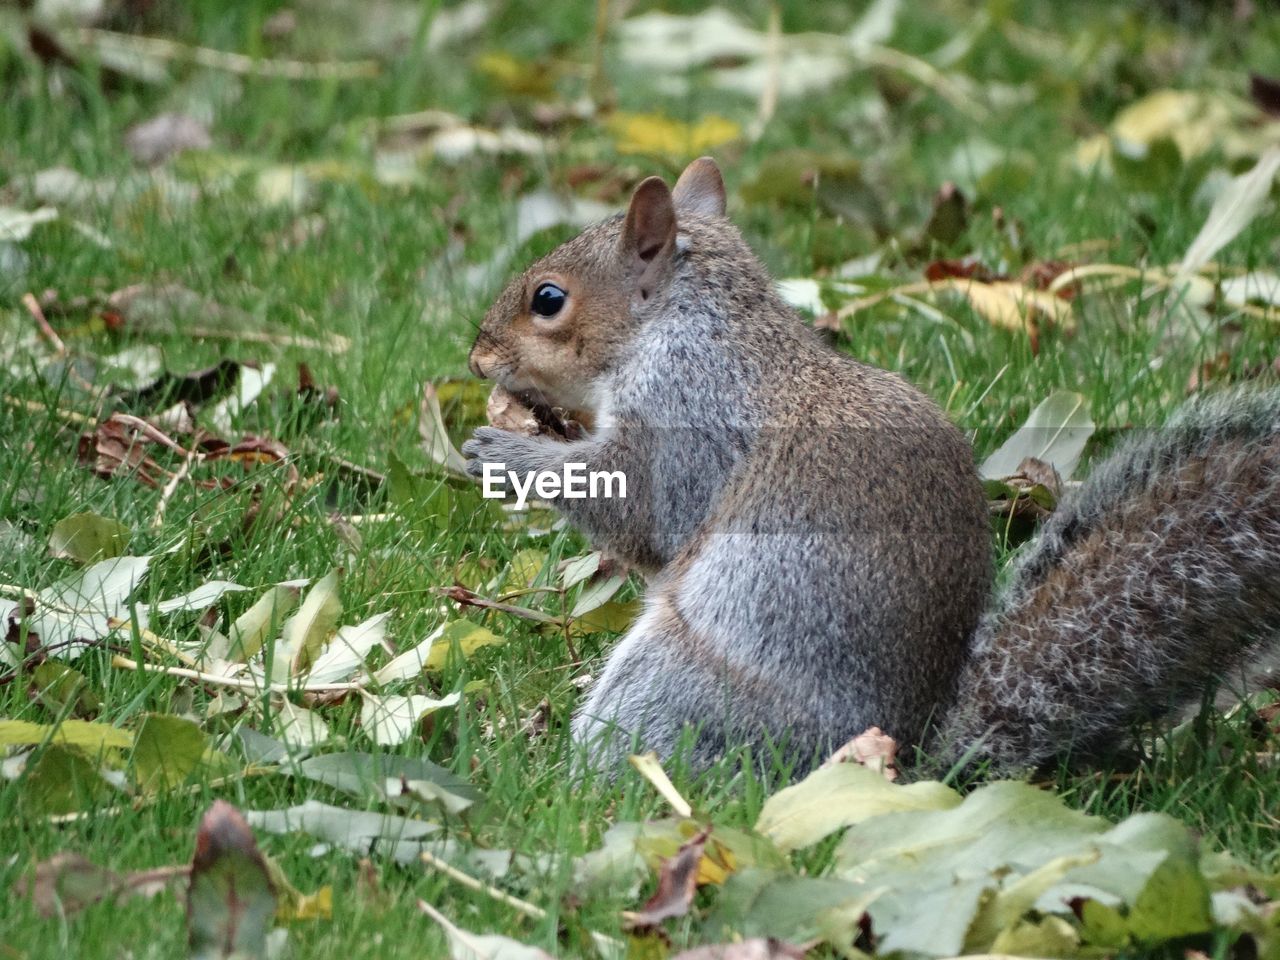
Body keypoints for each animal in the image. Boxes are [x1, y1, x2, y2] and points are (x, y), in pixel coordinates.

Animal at [460, 156, 1280, 773]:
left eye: (548, 299)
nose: (476, 359)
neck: (688, 324)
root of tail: (907, 762)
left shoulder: (688, 417)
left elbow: (637, 511)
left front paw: (501, 450)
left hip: (677, 684)